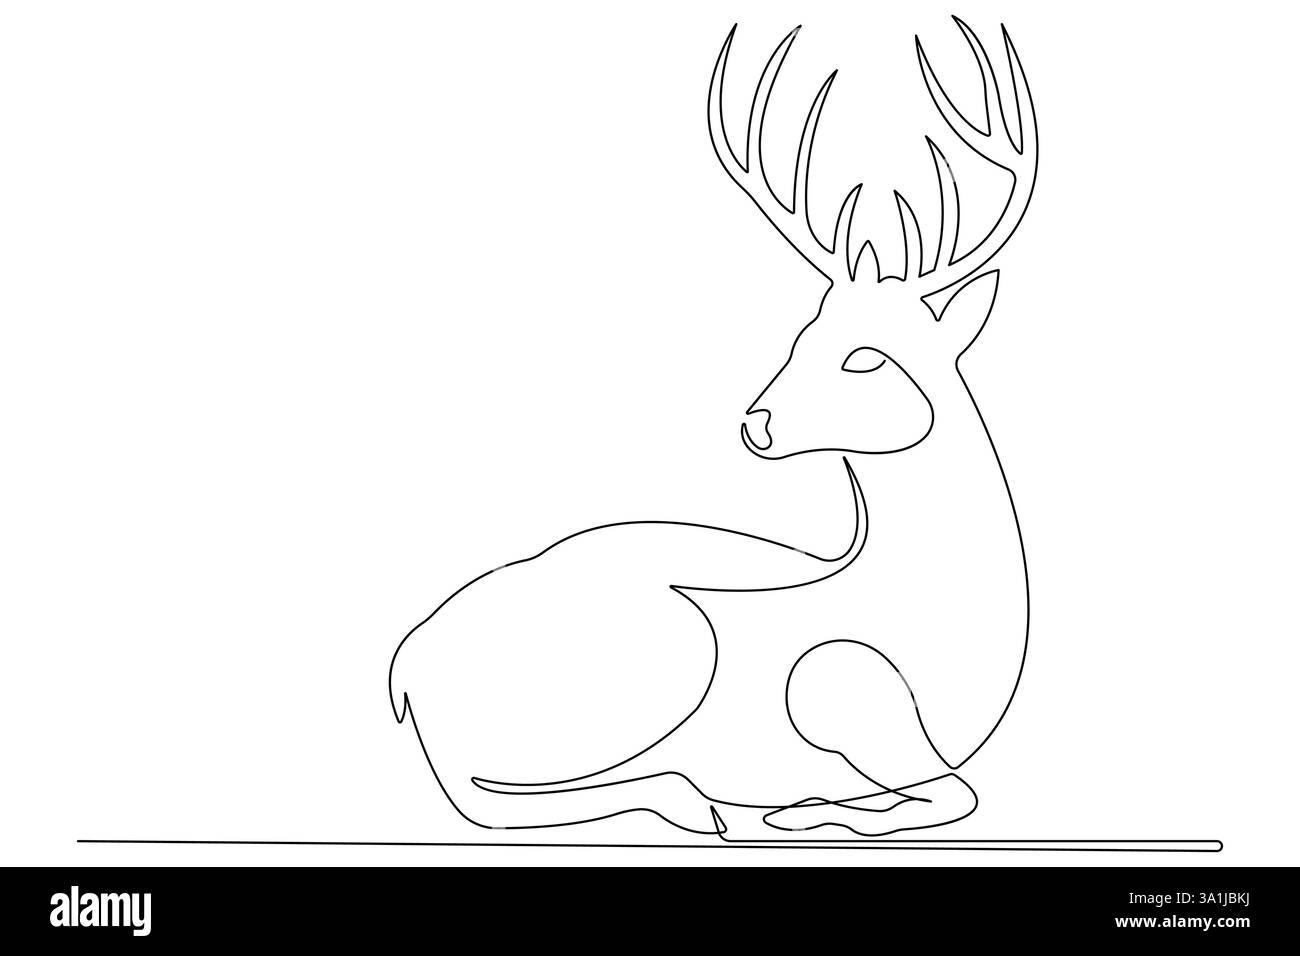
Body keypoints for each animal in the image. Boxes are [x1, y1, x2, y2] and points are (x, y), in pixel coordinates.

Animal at [389, 17, 1037, 839]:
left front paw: (818, 807)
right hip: (665, 652)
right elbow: (955, 794)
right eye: (801, 336)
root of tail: (406, 669)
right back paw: (696, 801)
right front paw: (807, 811)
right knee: (479, 795)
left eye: (866, 357)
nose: (758, 422)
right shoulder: (835, 679)